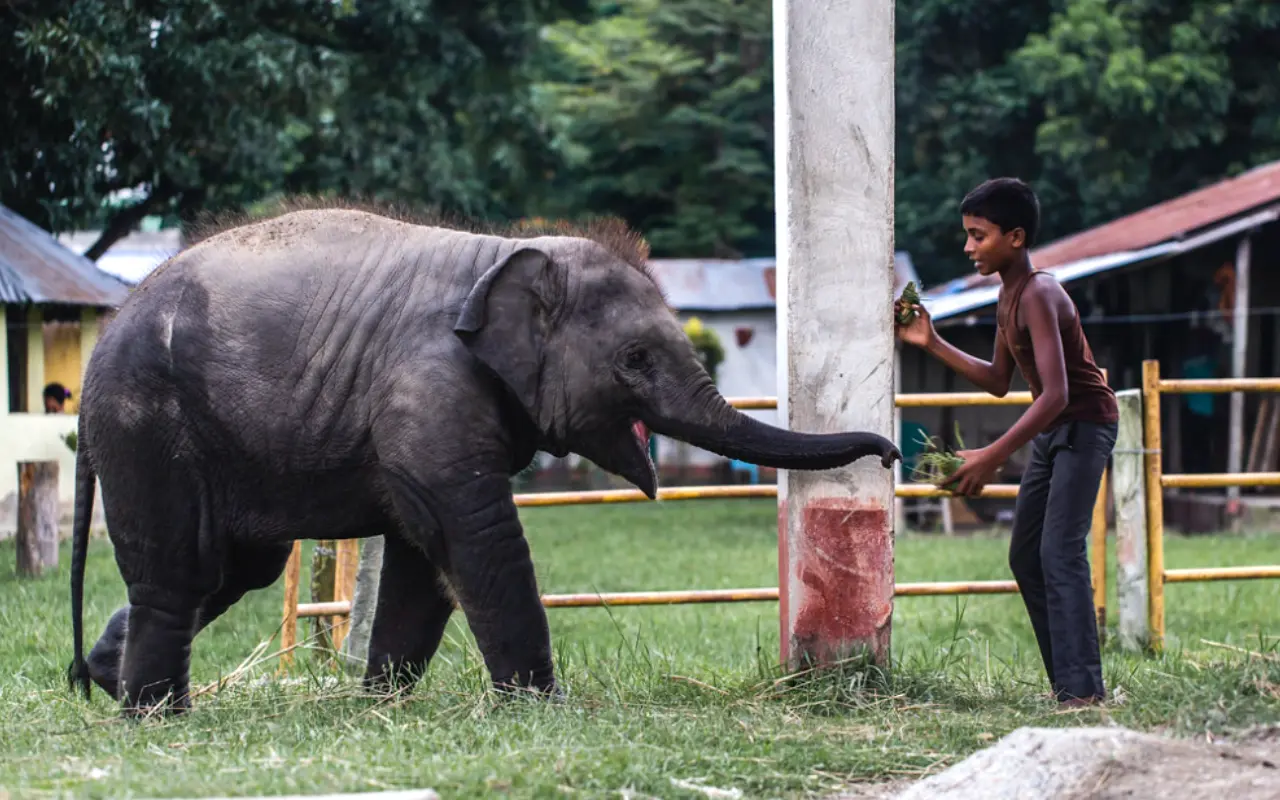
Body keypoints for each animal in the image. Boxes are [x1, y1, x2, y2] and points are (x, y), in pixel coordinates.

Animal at [65, 201, 900, 716]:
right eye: (634, 359)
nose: (890, 454)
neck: (504, 255)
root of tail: (104, 335)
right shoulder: (428, 383)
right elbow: (473, 532)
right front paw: (544, 709)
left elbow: (420, 556)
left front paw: (381, 705)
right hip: (147, 423)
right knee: (181, 569)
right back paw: (153, 716)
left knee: (234, 567)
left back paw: (106, 679)